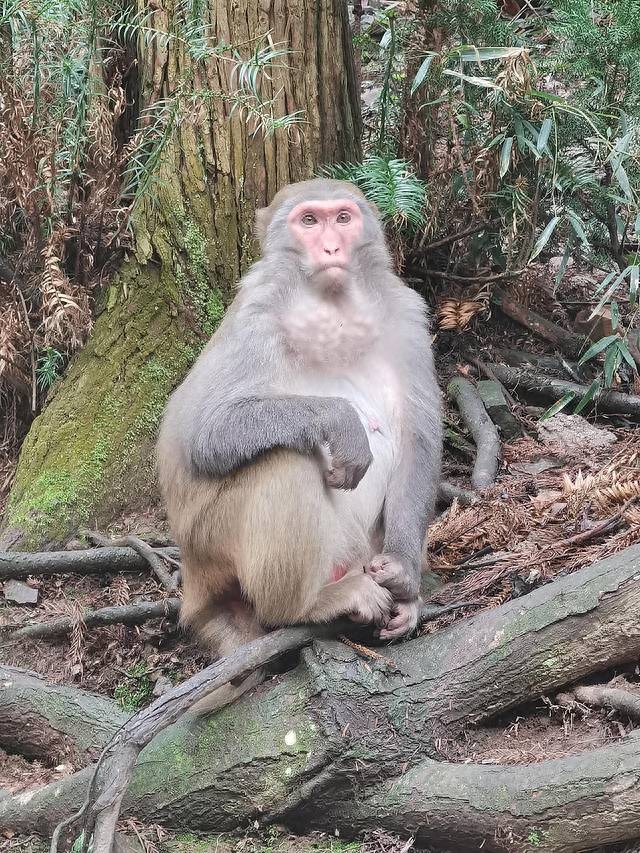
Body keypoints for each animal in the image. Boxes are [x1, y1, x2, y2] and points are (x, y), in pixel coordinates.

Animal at [158, 176, 442, 708]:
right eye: (309, 221)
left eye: (343, 218)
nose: (331, 247)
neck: (331, 305)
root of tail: (194, 575)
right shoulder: (255, 317)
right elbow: (202, 431)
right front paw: (342, 422)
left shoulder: (407, 315)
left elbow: (420, 440)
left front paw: (403, 575)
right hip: (212, 539)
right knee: (287, 460)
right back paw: (306, 606)